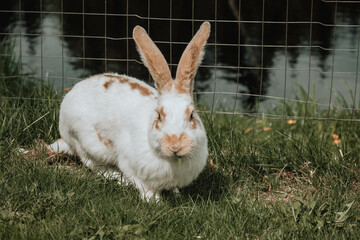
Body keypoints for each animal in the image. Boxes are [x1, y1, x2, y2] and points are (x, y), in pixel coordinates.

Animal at [48, 21, 211, 202]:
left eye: (191, 115)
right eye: (159, 116)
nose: (175, 146)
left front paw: (176, 194)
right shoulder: (130, 166)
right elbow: (144, 187)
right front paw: (155, 202)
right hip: (87, 144)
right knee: (94, 165)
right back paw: (118, 178)